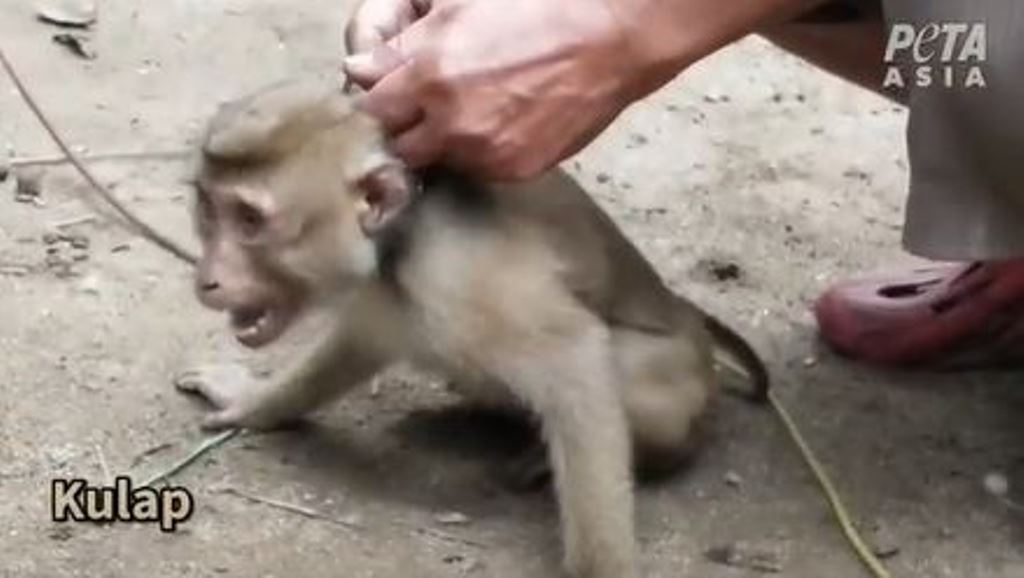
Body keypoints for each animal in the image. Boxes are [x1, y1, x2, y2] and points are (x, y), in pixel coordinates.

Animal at [174, 79, 768, 578]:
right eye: (208, 207)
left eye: (250, 221)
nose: (206, 279)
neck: (403, 231)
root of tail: (690, 320)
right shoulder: (389, 283)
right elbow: (361, 341)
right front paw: (253, 401)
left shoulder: (458, 275)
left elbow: (575, 358)